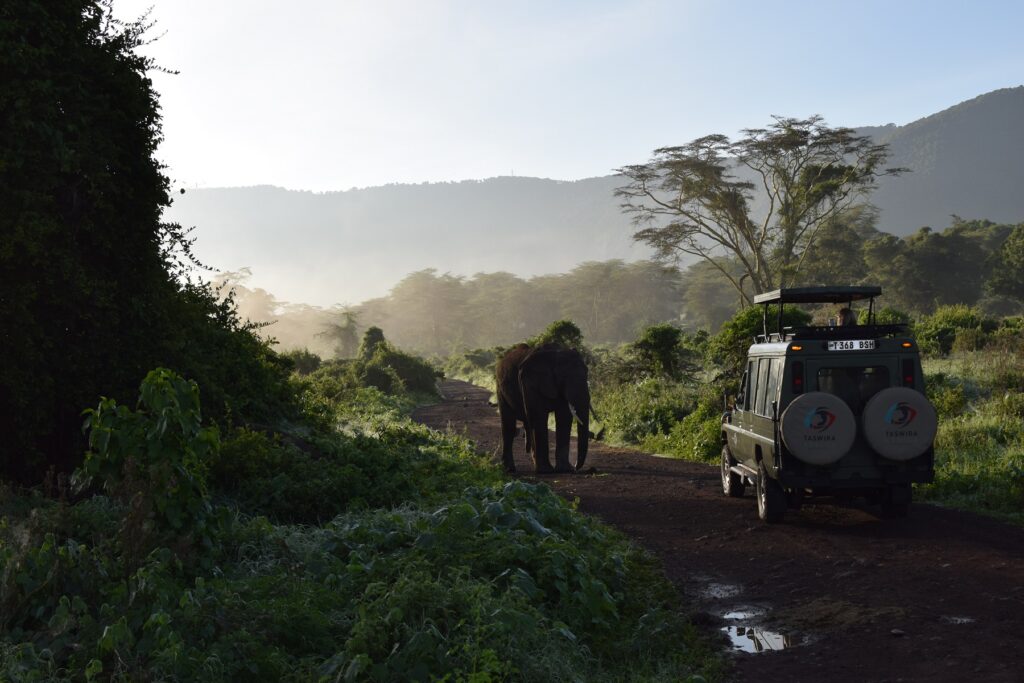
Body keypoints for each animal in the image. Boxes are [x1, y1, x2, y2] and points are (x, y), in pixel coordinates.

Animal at [495, 343, 591, 474]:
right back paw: (510, 469)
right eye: (563, 377)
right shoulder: (530, 382)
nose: (576, 467)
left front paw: (565, 469)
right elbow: (539, 416)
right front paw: (546, 471)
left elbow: (564, 418)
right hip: (500, 388)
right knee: (509, 426)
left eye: (587, 373)